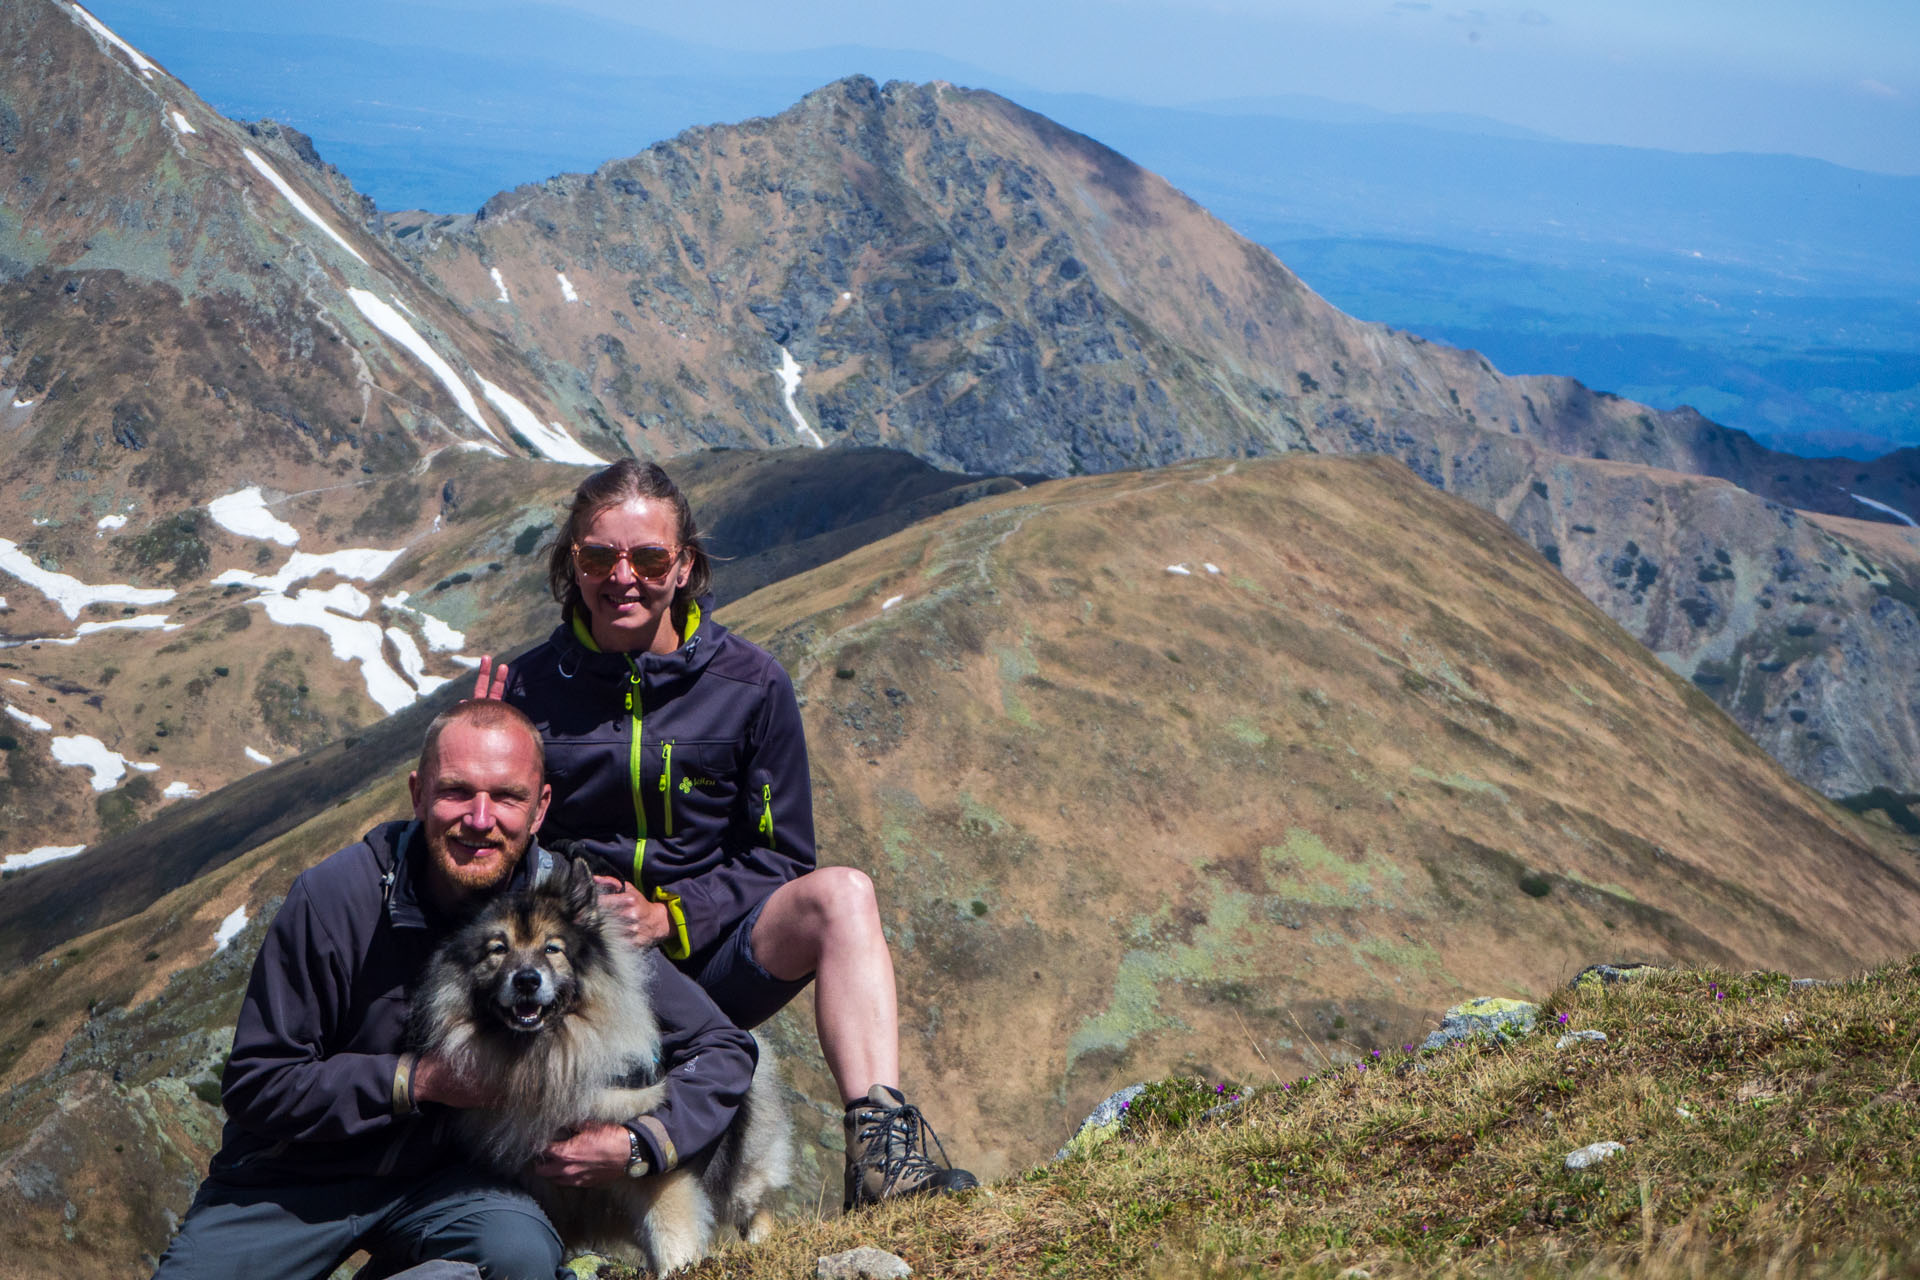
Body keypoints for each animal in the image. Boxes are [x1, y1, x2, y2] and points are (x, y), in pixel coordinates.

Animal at [408, 852, 791, 1274]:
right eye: (498, 949)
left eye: (552, 949)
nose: (527, 980)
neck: (547, 1053)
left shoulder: (658, 1177)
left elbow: (672, 1237)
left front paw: (679, 1268)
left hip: (741, 1173)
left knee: (756, 1205)